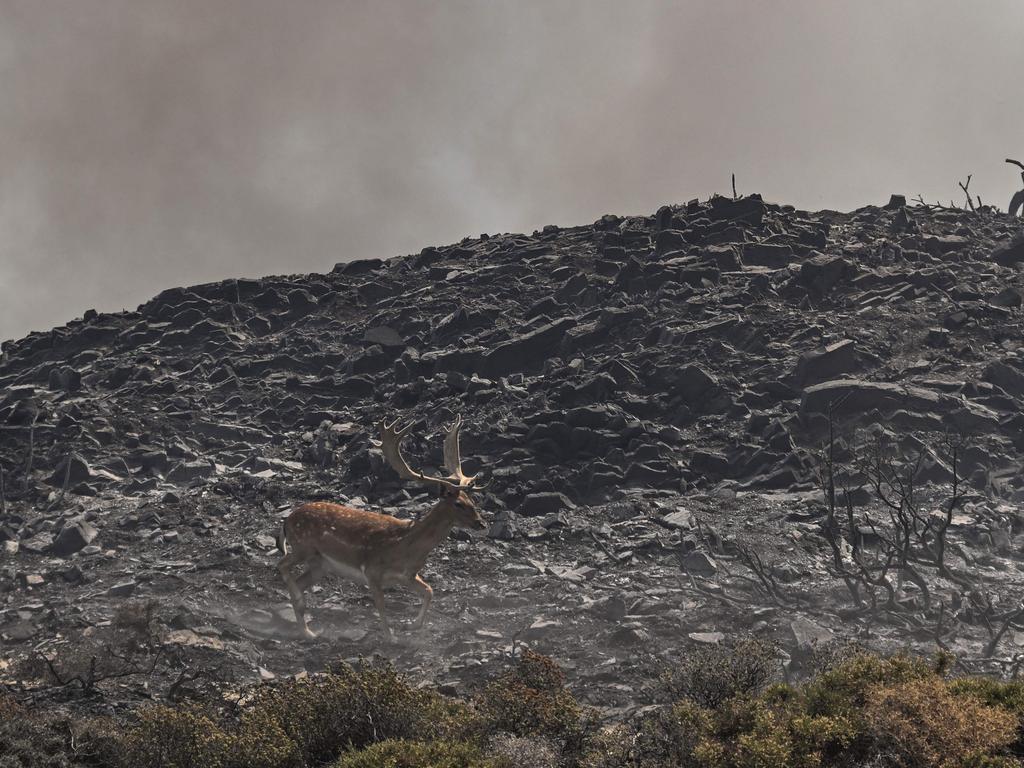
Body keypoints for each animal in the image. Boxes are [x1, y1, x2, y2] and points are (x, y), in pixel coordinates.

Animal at [276, 415, 487, 638]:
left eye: (471, 499)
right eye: (458, 504)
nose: (481, 523)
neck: (405, 546)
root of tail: (287, 521)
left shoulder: (408, 576)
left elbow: (429, 591)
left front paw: (413, 625)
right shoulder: (372, 571)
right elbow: (381, 606)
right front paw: (391, 637)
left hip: (320, 564)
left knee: (299, 580)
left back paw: (307, 630)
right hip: (303, 546)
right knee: (281, 564)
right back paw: (303, 614)